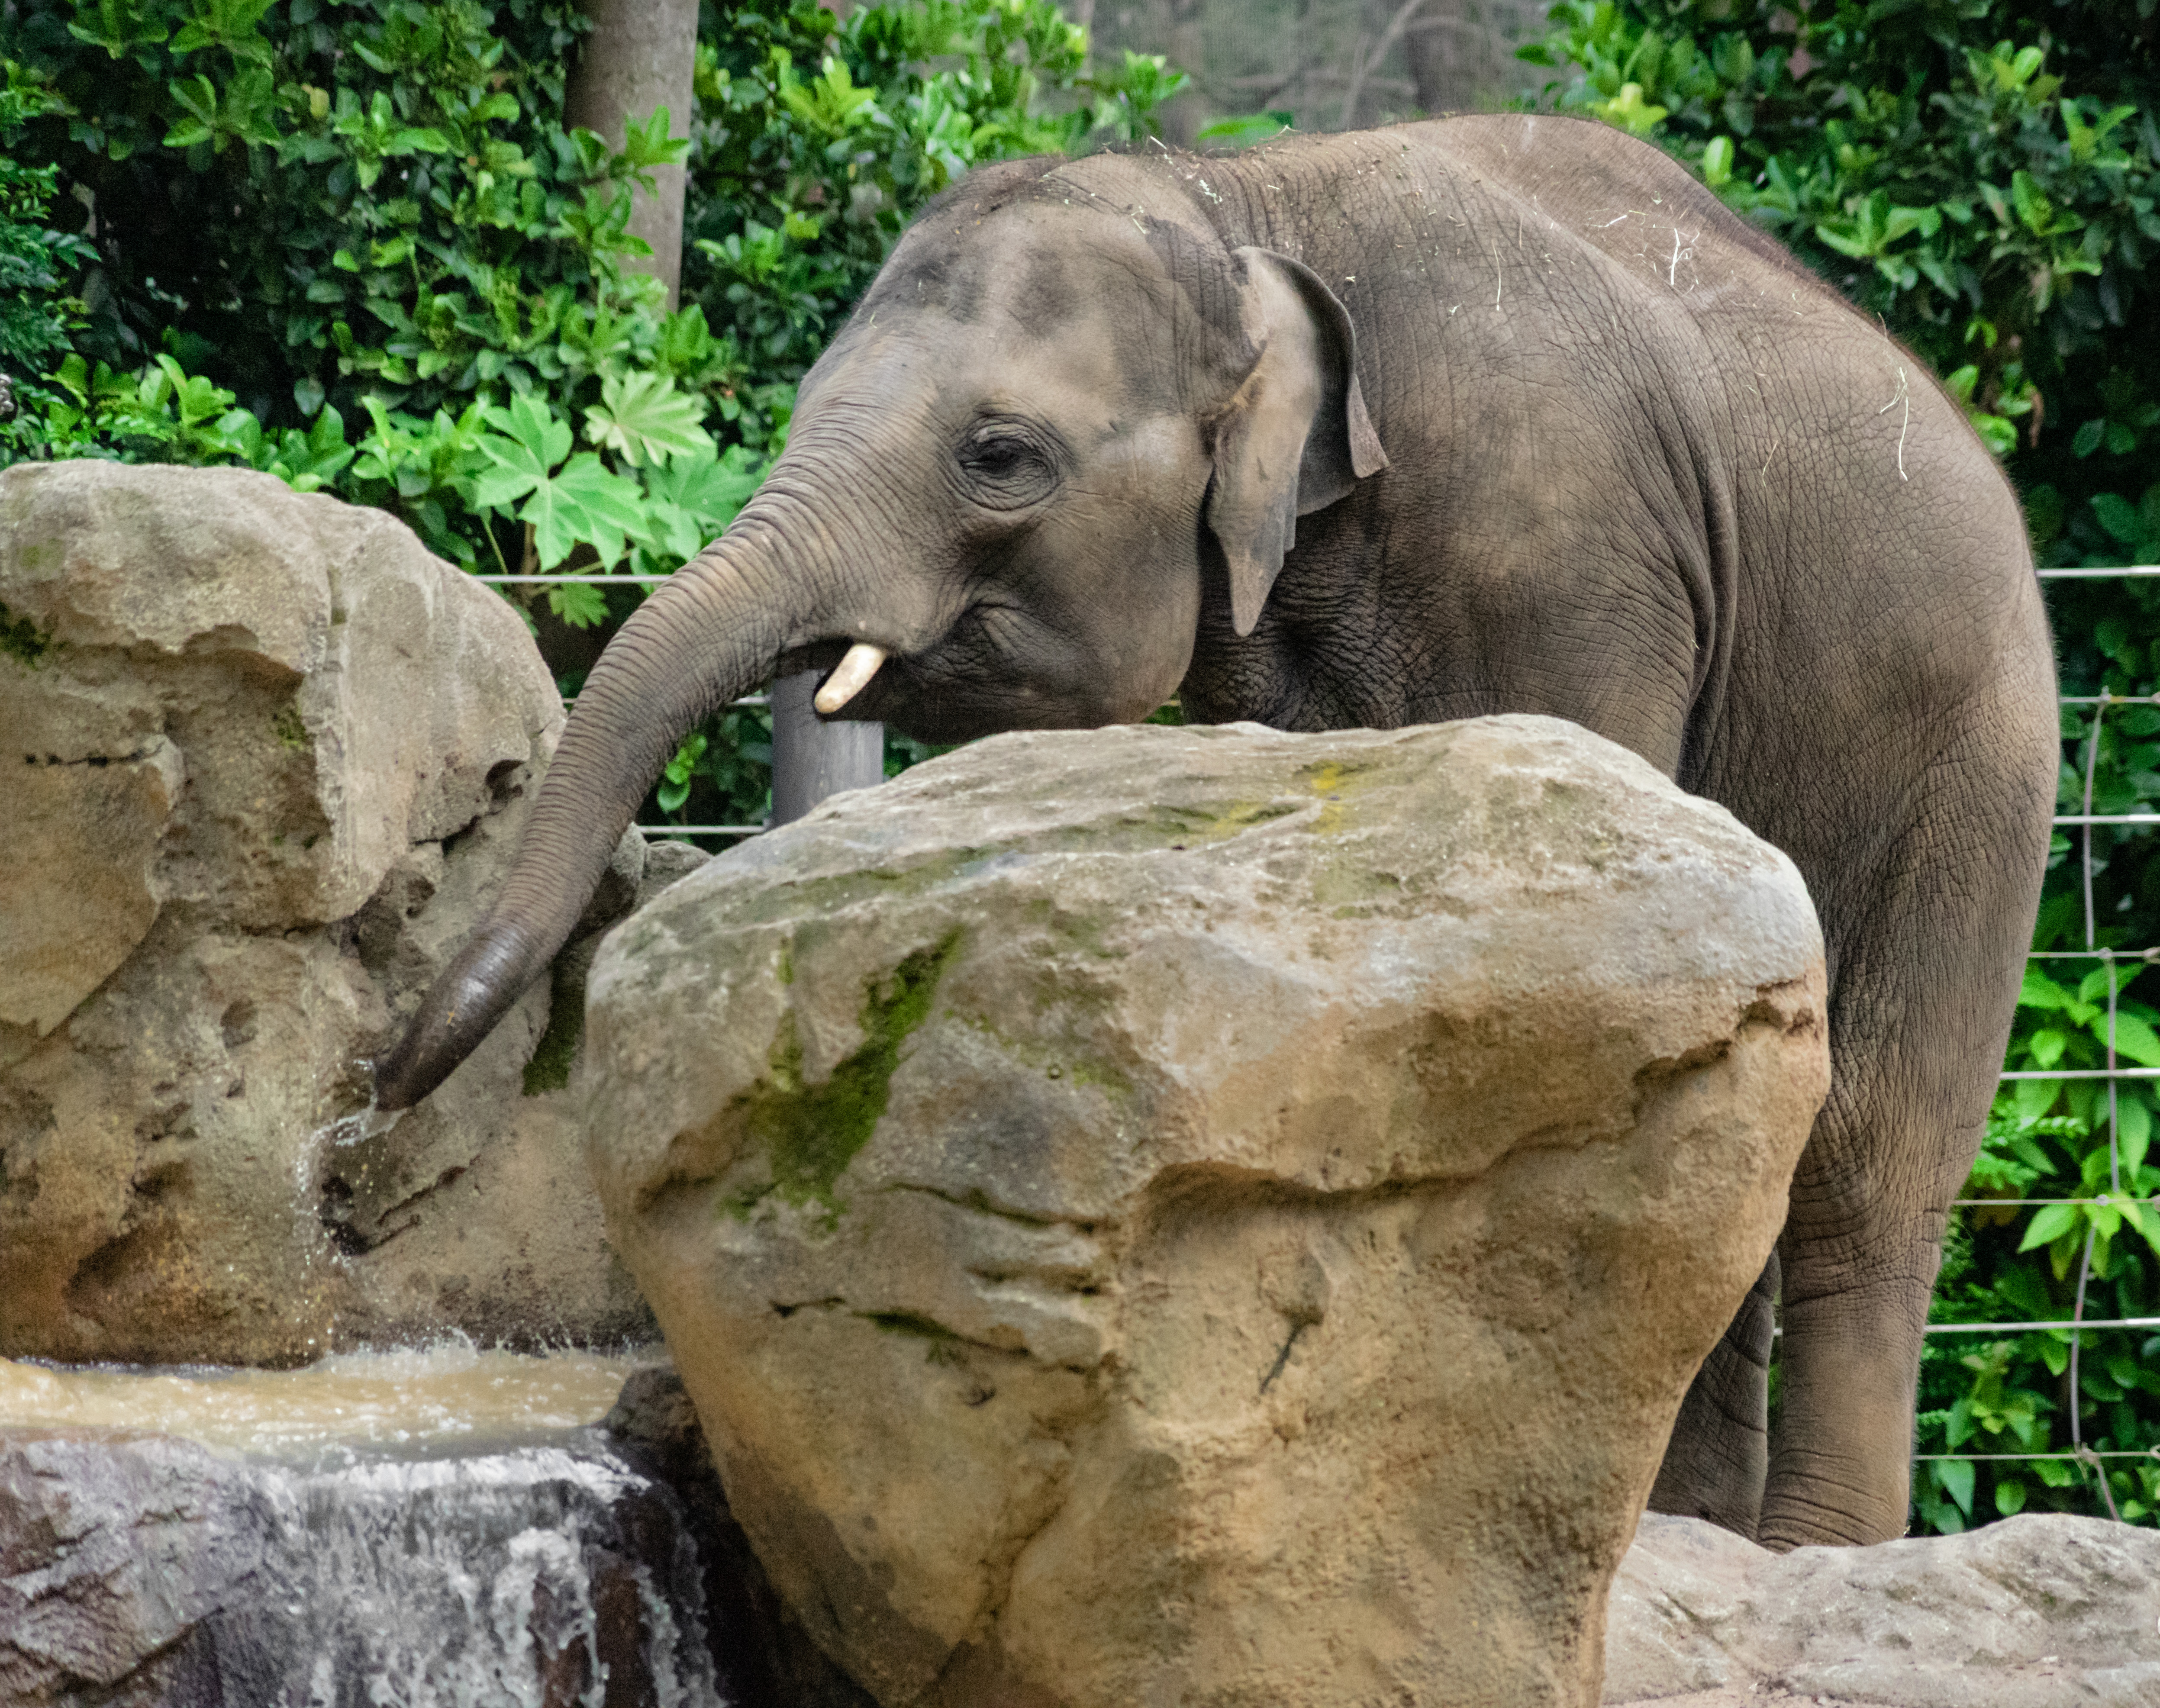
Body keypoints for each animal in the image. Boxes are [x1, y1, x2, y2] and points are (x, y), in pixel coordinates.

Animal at [374, 113, 2057, 1551]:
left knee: (1860, 1150)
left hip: (1969, 772)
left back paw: (1805, 1554)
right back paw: (1688, 1531)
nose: (372, 1092)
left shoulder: (1570, 560)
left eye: (1000, 456)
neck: (1240, 200)